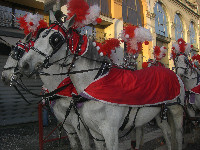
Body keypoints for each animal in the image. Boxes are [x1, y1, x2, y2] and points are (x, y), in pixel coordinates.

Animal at [18, 12, 185, 150]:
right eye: (38, 36)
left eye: (55, 39)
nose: (24, 64)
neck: (95, 83)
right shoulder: (94, 132)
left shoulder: (109, 133)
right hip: (158, 113)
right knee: (166, 133)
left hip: (176, 110)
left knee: (177, 134)